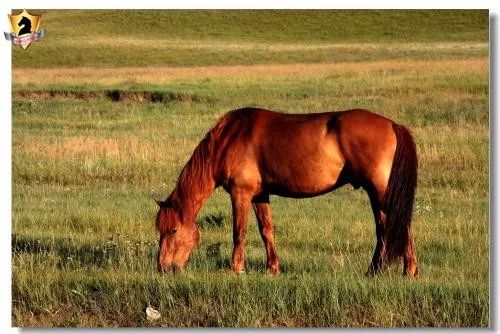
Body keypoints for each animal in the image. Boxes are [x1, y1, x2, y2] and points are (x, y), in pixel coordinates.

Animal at [155, 107, 418, 276]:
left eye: (173, 229)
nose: (163, 268)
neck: (229, 139)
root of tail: (393, 125)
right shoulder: (259, 195)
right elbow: (266, 230)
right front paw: (272, 268)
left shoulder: (241, 193)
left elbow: (239, 231)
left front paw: (236, 268)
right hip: (375, 194)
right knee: (384, 229)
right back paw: (375, 270)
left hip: (381, 192)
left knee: (399, 225)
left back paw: (409, 270)